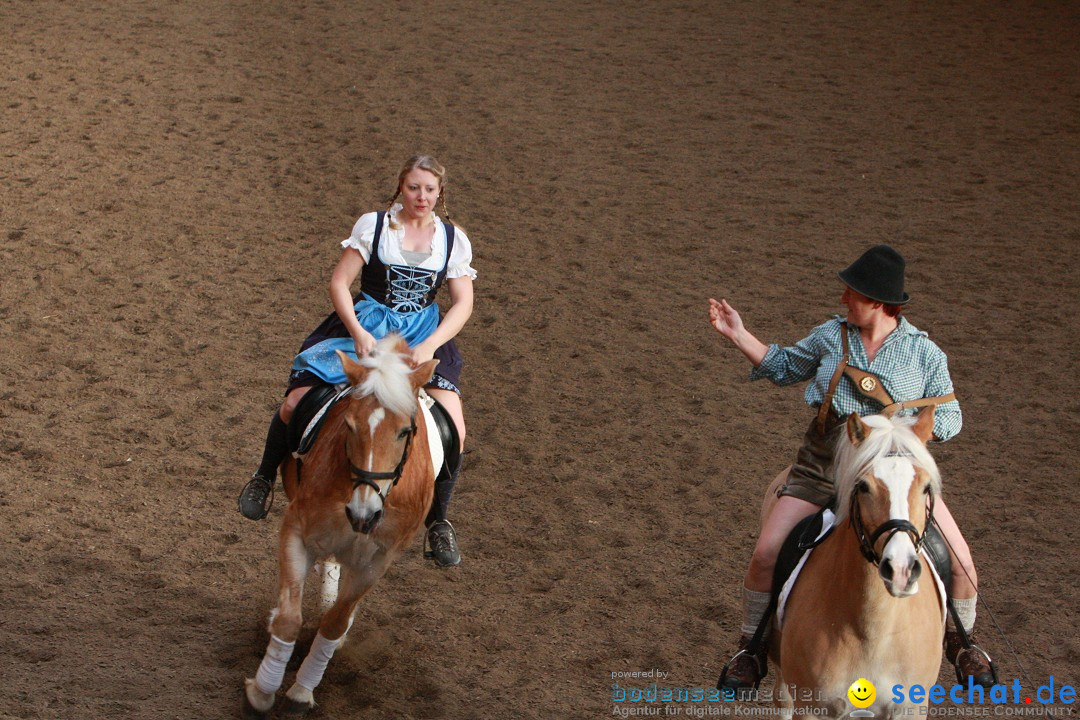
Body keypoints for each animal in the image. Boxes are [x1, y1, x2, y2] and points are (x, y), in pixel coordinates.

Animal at [243, 334, 440, 716]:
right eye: (349, 425)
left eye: (404, 432)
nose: (363, 514)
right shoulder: (297, 530)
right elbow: (289, 620)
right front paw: (262, 692)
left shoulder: (376, 562)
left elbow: (334, 623)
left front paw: (301, 691)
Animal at [760, 408, 946, 716]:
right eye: (864, 487)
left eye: (925, 487)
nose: (901, 570)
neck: (874, 633)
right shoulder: (812, 707)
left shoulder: (910, 708)